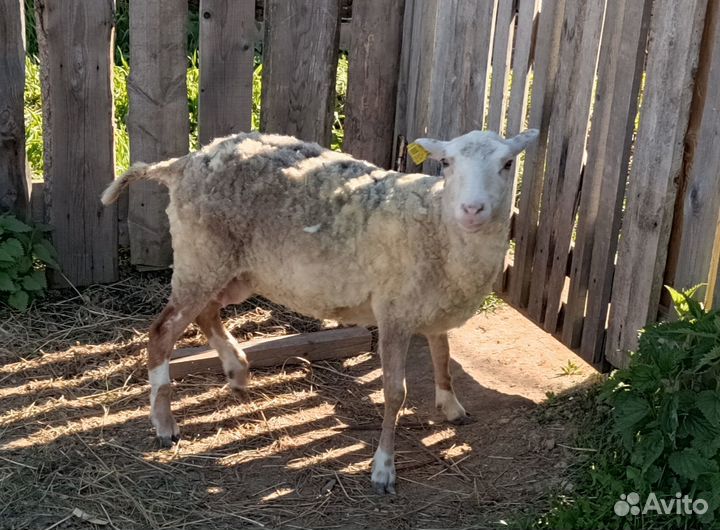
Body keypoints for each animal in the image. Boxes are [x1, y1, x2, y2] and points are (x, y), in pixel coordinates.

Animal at [101, 128, 539, 494]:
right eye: (446, 163)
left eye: (507, 163)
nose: (472, 209)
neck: (436, 225)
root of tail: (184, 162)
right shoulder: (394, 311)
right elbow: (394, 393)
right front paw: (383, 468)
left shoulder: (433, 303)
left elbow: (443, 356)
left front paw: (450, 406)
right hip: (202, 255)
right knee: (163, 331)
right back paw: (164, 424)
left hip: (236, 268)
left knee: (206, 312)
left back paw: (236, 369)